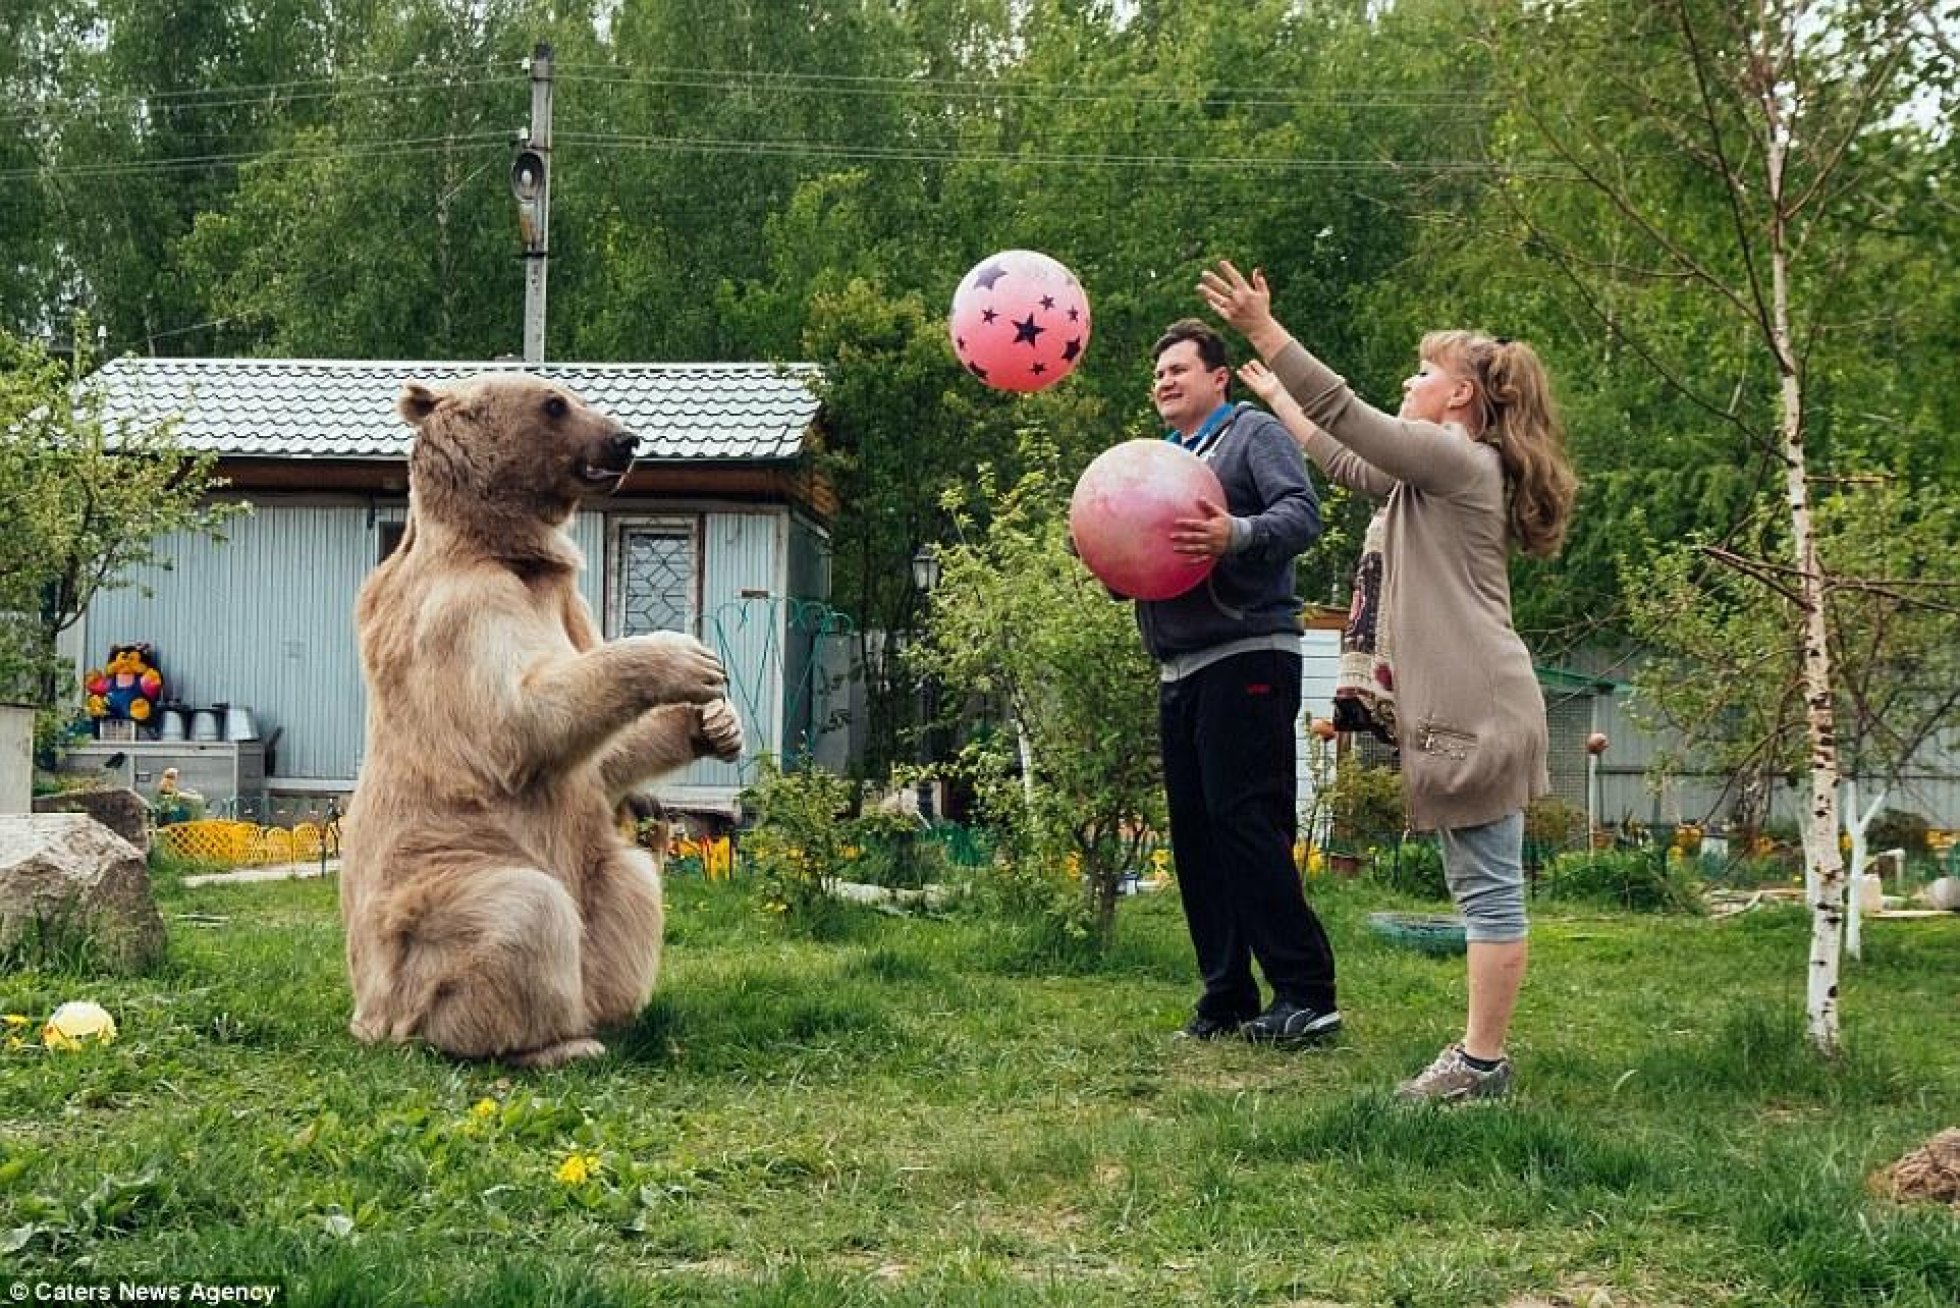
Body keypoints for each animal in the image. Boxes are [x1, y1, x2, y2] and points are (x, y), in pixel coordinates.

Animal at [337, 372, 740, 1066]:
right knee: (523, 911)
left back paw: (609, 1013)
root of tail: (371, 1016)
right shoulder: (462, 609)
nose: (626, 440)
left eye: (574, 396)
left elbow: (603, 758)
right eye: (556, 404)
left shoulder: (567, 604)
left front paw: (715, 722)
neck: (513, 553)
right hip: (429, 893)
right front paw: (683, 656)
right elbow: (518, 715)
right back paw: (548, 1043)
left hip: (585, 862)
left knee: (630, 884)